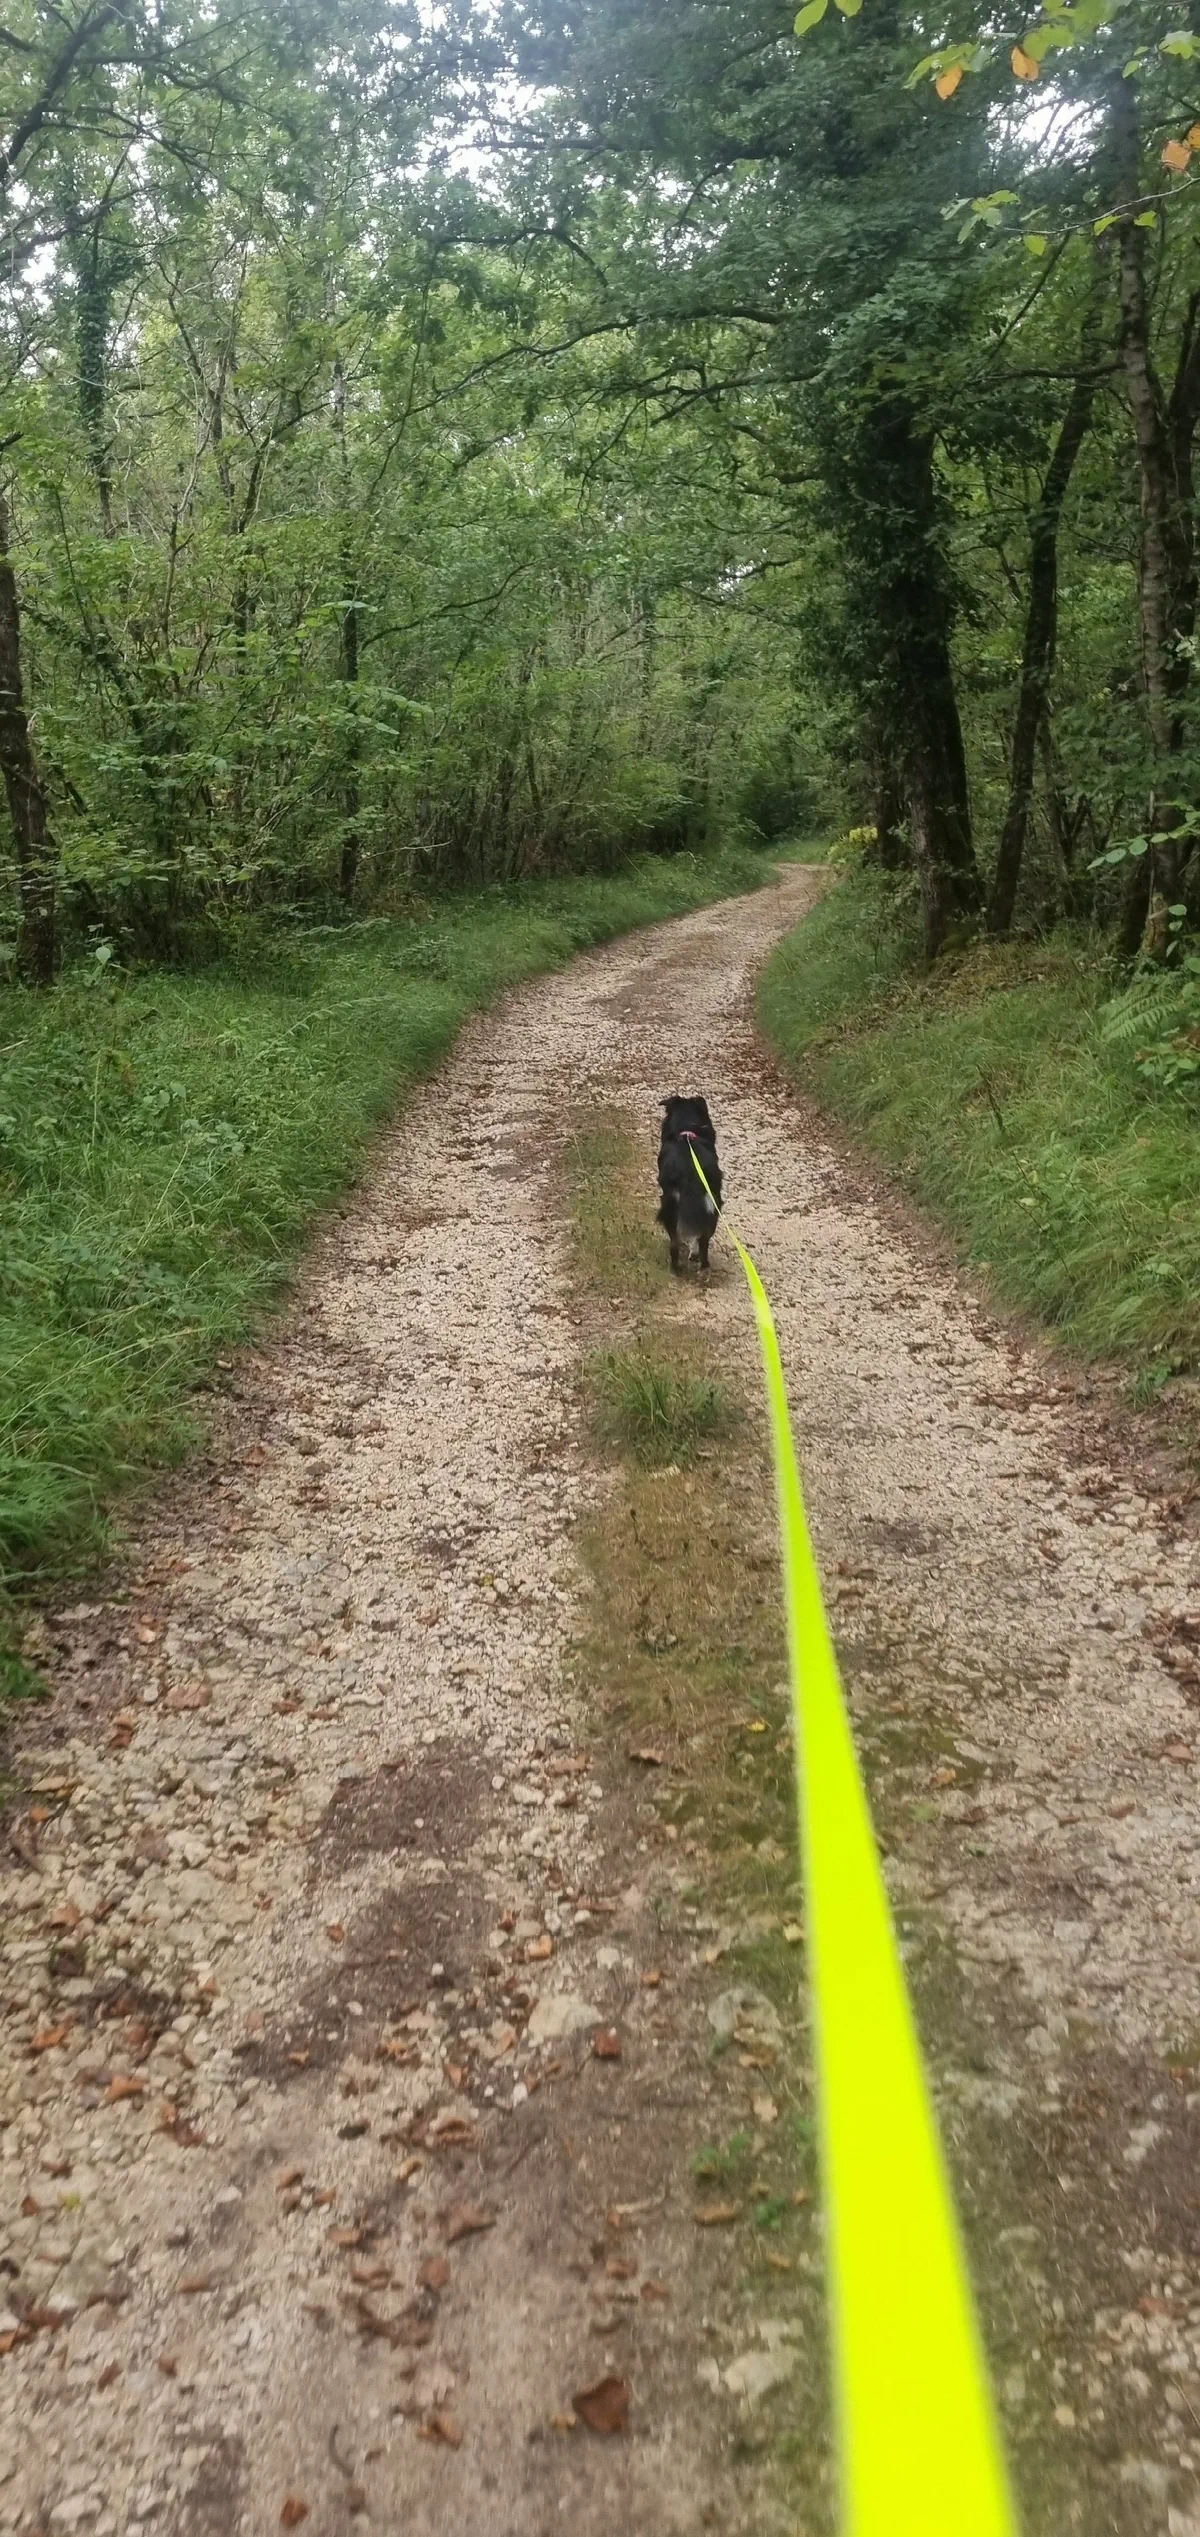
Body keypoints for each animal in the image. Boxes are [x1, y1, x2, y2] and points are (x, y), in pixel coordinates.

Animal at [656, 1094, 723, 1274]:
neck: (687, 1131)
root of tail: (691, 1175)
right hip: (714, 1206)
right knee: (704, 1241)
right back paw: (703, 1267)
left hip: (669, 1206)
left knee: (674, 1243)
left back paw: (675, 1268)